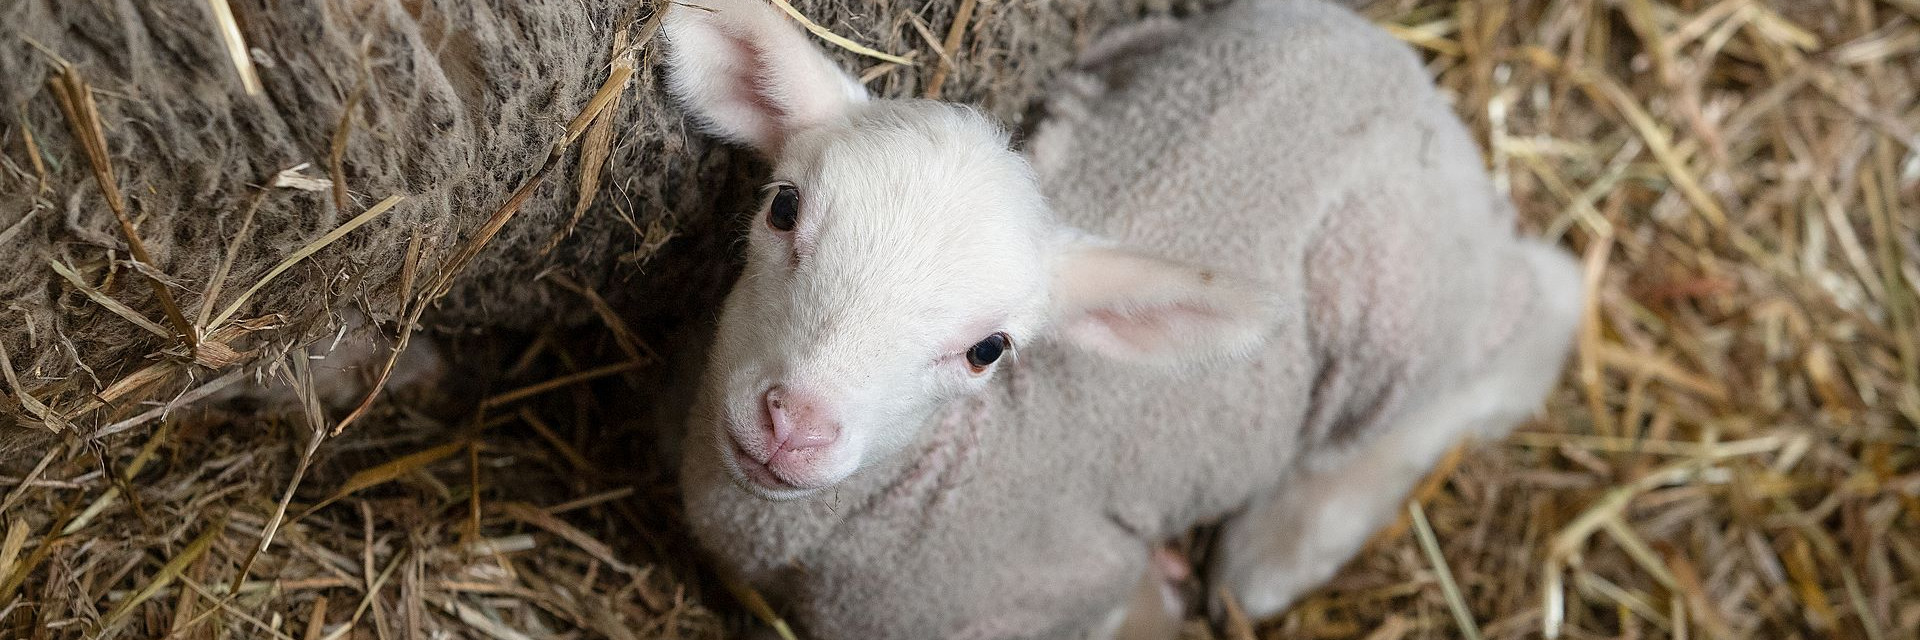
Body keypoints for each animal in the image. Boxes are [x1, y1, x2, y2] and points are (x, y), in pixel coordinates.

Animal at [660, 0, 1583, 637]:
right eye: (783, 208)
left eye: (988, 350)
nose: (793, 424)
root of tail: (1410, 75)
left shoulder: (1065, 586)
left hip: (1402, 288)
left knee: (1528, 321)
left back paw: (1278, 549)